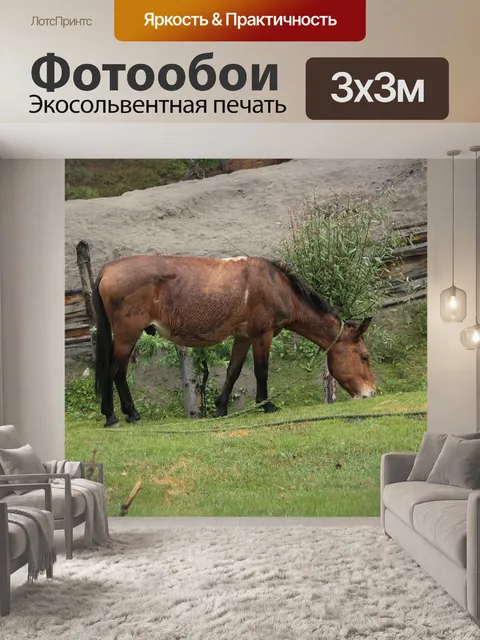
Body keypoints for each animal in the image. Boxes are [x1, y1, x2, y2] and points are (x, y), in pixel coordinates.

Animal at [92, 255, 376, 427]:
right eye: (364, 356)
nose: (371, 393)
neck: (276, 285)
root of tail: (107, 269)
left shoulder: (243, 337)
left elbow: (233, 371)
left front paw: (221, 408)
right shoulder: (262, 335)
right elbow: (261, 371)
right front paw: (266, 404)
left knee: (118, 372)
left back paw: (129, 413)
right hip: (127, 334)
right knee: (113, 371)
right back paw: (113, 415)